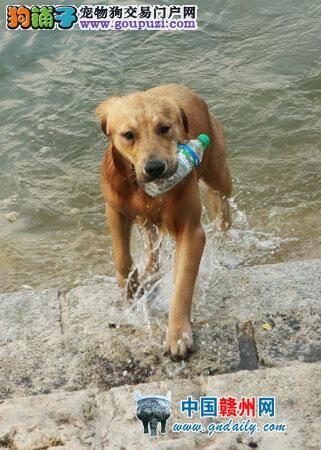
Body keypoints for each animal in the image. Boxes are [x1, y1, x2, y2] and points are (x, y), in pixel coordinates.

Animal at [95, 83, 232, 358]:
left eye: (164, 128)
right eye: (128, 134)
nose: (155, 167)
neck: (145, 190)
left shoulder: (190, 230)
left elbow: (183, 285)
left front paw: (178, 333)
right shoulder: (115, 209)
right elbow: (122, 258)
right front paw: (131, 287)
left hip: (218, 170)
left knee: (222, 199)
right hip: (147, 219)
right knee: (151, 238)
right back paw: (150, 269)